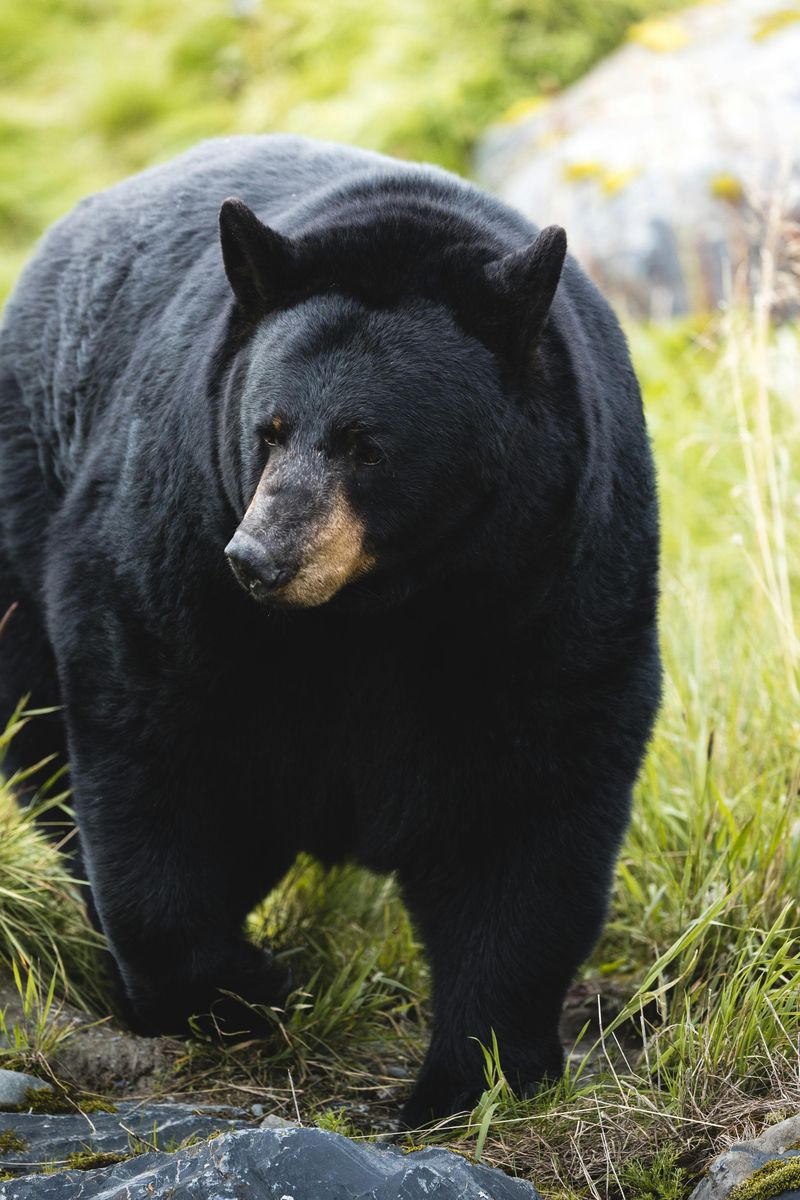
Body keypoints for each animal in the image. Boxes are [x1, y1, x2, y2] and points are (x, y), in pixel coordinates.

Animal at [0, 136, 662, 1128]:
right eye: (268, 429)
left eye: (367, 443)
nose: (259, 558)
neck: (378, 610)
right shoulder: (176, 536)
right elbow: (147, 738)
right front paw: (244, 992)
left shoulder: (551, 576)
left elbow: (532, 804)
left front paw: (474, 1075)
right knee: (45, 746)